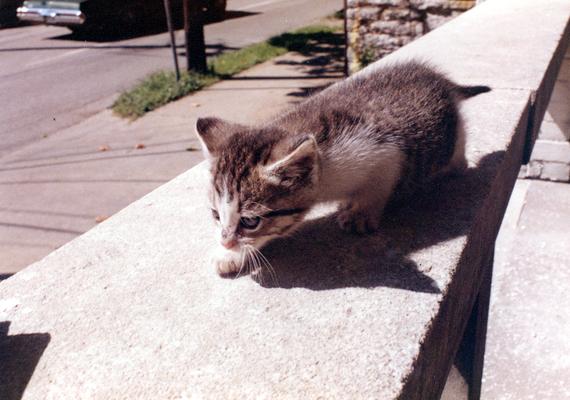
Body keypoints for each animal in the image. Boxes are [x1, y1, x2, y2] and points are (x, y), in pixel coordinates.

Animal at [193, 61, 486, 276]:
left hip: (445, 135)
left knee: (457, 145)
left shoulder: (384, 152)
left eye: (250, 221)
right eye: (215, 214)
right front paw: (230, 255)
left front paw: (361, 212)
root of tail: (436, 77)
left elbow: (378, 185)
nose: (225, 241)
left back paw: (454, 168)